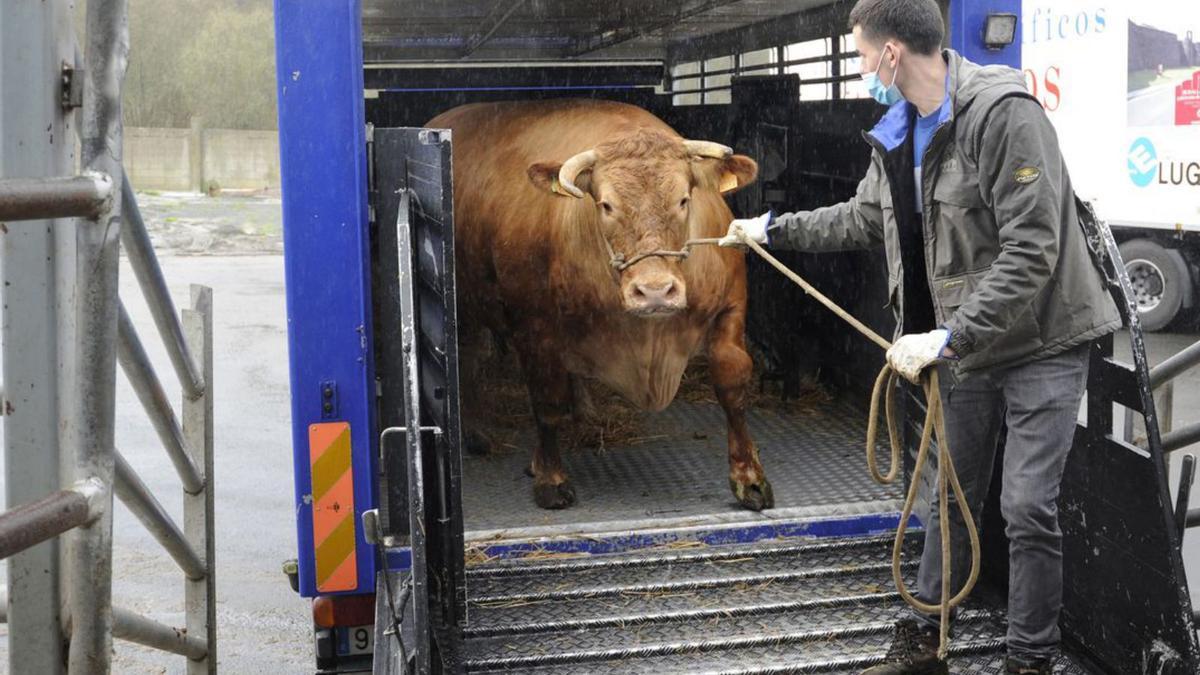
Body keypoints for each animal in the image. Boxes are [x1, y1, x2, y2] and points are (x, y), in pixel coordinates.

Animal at [427, 98, 772, 509]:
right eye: (606, 205)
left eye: (684, 200)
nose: (655, 291)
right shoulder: (534, 328)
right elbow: (547, 401)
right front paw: (550, 477)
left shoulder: (731, 307)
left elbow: (731, 382)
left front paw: (749, 477)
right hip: (465, 303)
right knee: (470, 357)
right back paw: (477, 432)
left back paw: (585, 414)